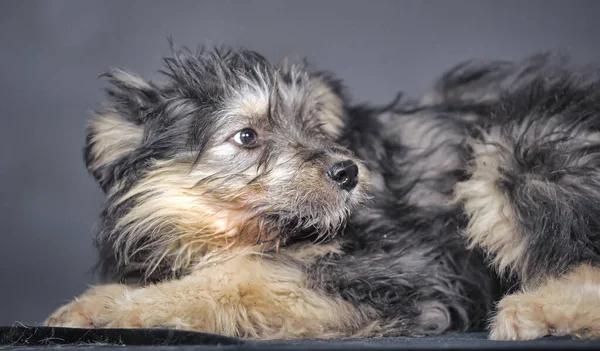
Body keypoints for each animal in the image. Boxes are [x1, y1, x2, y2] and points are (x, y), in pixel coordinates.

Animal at [44, 46, 600, 340]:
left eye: (313, 126)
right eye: (247, 136)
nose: (348, 171)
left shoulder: (395, 267)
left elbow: (244, 277)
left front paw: (120, 307)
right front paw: (94, 302)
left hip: (519, 147)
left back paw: (535, 310)